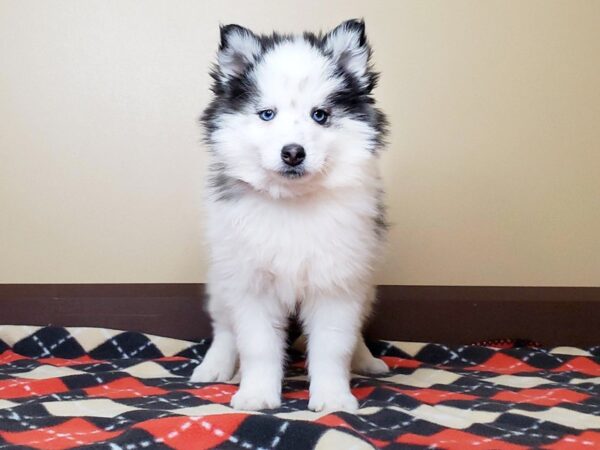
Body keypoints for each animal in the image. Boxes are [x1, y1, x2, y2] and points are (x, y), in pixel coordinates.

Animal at [191, 18, 390, 412]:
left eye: (320, 115)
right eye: (267, 114)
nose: (293, 153)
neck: (293, 202)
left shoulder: (337, 283)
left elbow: (333, 347)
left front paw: (333, 398)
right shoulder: (251, 284)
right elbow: (257, 346)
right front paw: (256, 394)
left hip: (366, 284)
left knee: (357, 330)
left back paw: (366, 360)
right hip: (222, 277)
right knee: (224, 327)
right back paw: (216, 367)